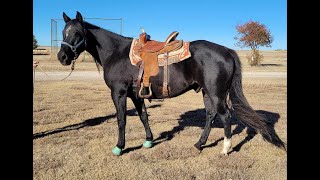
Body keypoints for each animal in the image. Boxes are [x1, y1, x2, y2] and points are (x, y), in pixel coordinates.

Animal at [57, 11, 284, 155]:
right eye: (63, 32)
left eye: (77, 33)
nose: (62, 57)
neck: (116, 53)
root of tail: (227, 51)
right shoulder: (136, 95)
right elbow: (143, 117)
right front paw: (148, 140)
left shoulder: (119, 93)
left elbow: (121, 120)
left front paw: (119, 147)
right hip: (207, 92)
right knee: (211, 116)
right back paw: (199, 144)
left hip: (217, 93)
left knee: (225, 116)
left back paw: (225, 149)